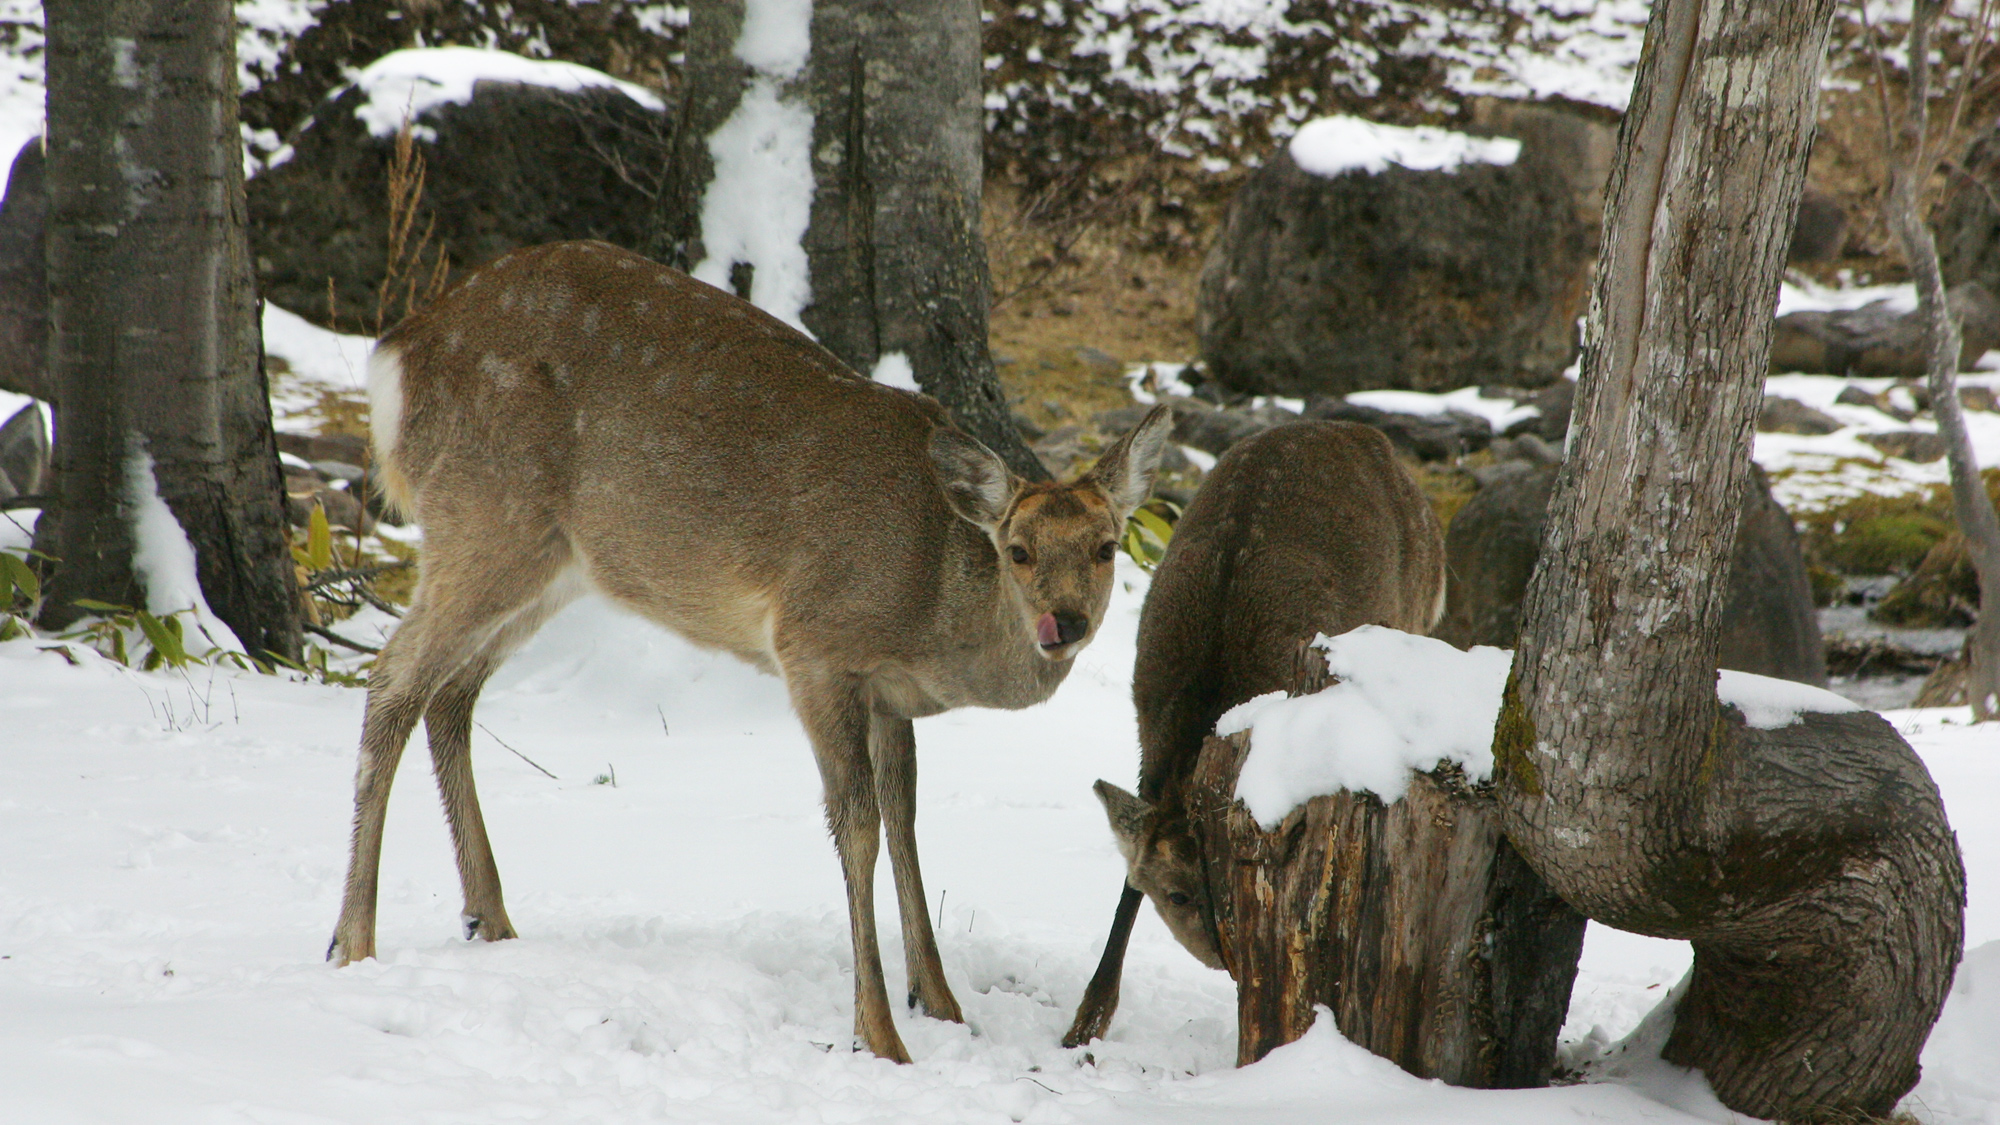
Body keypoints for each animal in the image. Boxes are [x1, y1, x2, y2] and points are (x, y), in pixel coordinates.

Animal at [328, 236, 1168, 1056]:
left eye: (1106, 545)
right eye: (1019, 550)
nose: (1065, 623)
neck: (931, 605)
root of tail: (397, 353)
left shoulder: (886, 690)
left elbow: (906, 817)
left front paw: (940, 1000)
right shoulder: (816, 645)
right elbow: (857, 825)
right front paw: (880, 1032)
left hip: (549, 564)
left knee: (450, 692)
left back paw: (489, 918)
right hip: (484, 513)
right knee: (393, 677)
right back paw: (353, 940)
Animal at [1056, 418, 1448, 1040]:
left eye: (1227, 888)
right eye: (1178, 895)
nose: (1225, 959)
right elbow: (1126, 881)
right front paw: (1086, 1023)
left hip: (1417, 607)